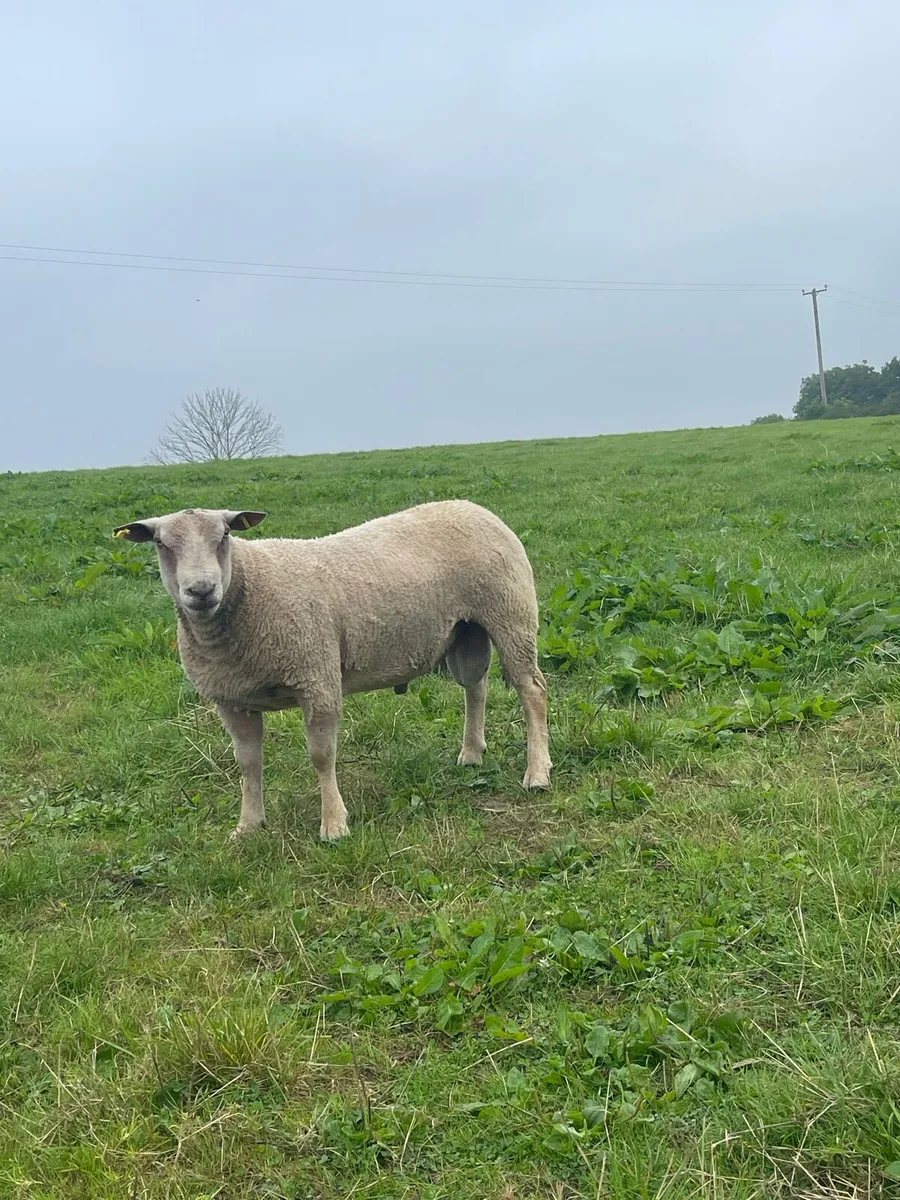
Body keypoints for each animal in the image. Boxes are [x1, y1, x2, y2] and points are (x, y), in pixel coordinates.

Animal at [113, 500, 552, 841]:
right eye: (160, 543)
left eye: (223, 536)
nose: (201, 591)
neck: (248, 589)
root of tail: (475, 507)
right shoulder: (231, 700)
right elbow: (248, 763)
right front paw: (248, 825)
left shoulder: (317, 678)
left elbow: (322, 756)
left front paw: (334, 825)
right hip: (466, 631)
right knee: (475, 686)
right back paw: (472, 753)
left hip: (511, 613)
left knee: (532, 690)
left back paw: (537, 772)